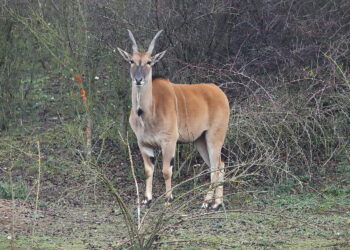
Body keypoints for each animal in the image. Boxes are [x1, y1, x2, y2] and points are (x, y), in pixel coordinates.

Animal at [117, 28, 230, 209]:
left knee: (215, 167)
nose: (138, 80)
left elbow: (166, 171)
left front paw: (168, 199)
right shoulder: (143, 144)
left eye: (149, 62)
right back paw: (217, 203)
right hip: (200, 140)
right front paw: (147, 199)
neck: (146, 112)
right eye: (131, 61)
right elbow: (148, 171)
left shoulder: (169, 141)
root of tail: (219, 92)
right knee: (219, 165)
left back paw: (206, 202)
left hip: (215, 136)